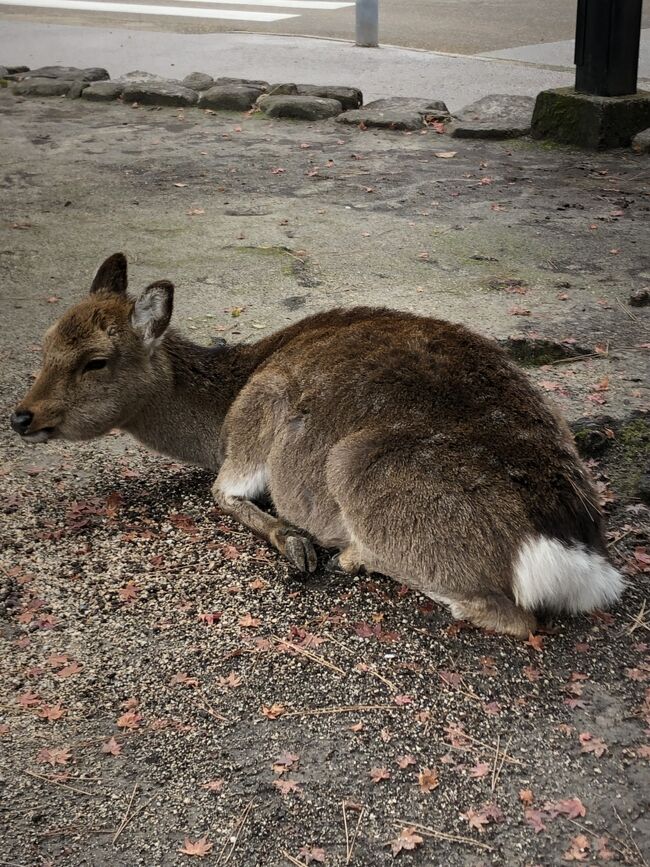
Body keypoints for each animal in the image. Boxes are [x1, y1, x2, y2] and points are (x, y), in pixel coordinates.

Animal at [10, 253, 624, 638]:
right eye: (44, 343)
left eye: (95, 361)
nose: (21, 415)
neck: (220, 412)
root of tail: (575, 552)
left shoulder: (252, 431)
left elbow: (221, 494)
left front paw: (297, 544)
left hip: (358, 465)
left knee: (509, 615)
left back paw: (353, 553)